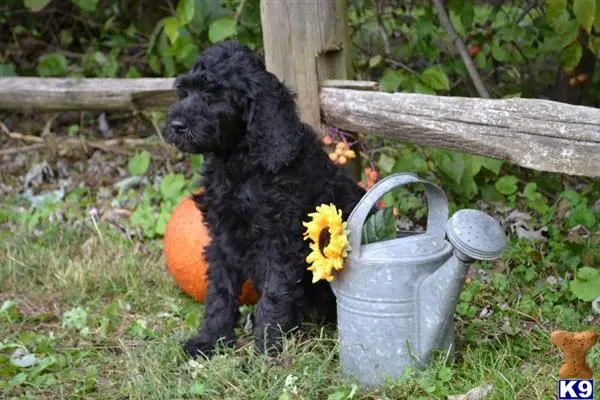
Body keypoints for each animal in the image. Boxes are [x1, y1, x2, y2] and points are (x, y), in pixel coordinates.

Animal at [162, 40, 366, 358]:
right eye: (185, 92)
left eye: (214, 94)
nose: (176, 124)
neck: (240, 161)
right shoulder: (223, 237)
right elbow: (219, 292)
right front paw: (210, 339)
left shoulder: (279, 243)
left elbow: (274, 294)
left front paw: (267, 348)